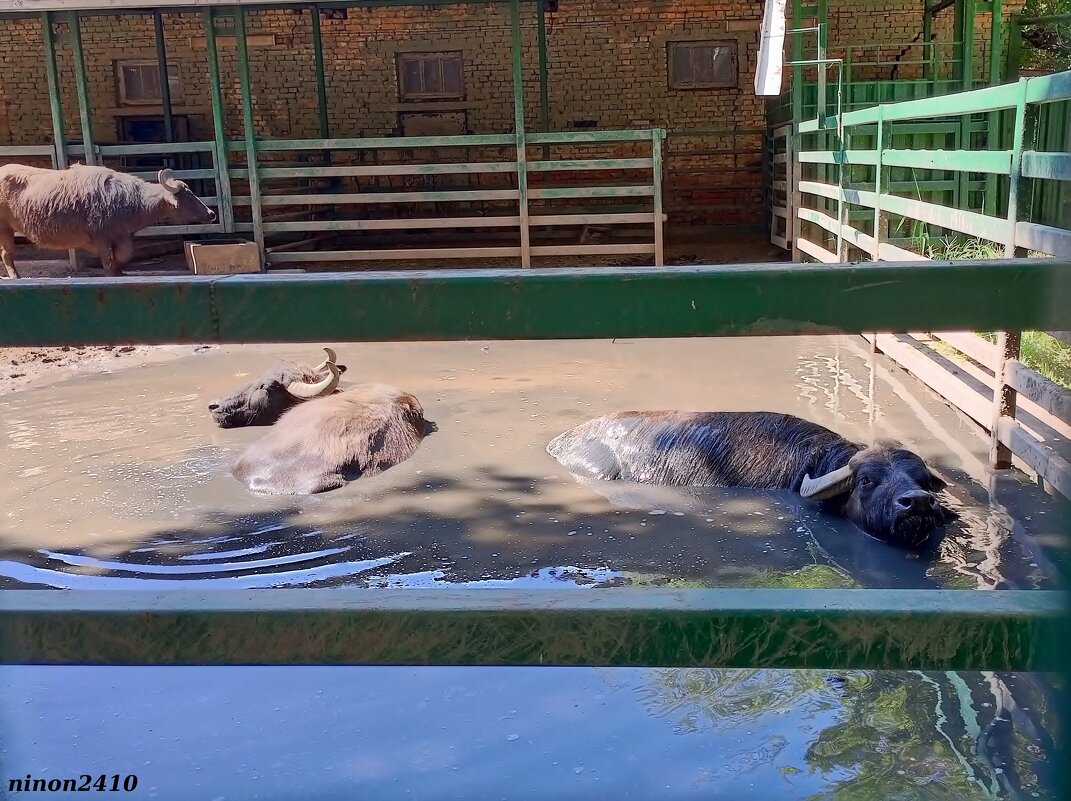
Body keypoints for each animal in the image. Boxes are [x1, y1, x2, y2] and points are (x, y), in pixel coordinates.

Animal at [0, 160, 215, 280]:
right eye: (187, 196)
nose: (211, 214)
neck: (127, 199)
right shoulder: (102, 237)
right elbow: (110, 260)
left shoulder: (121, 236)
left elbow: (124, 255)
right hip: (5, 229)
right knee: (6, 254)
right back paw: (16, 277)